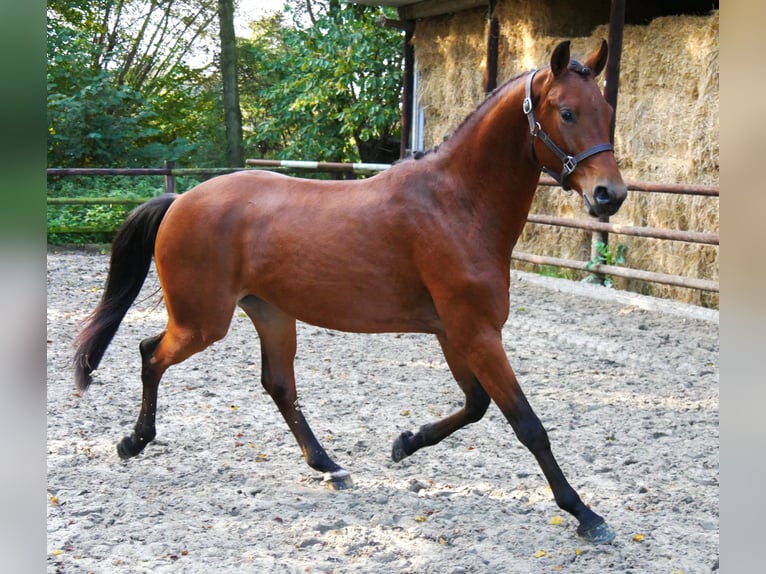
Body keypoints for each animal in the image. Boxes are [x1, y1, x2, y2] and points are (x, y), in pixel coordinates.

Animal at [75, 40, 632, 544]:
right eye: (566, 112)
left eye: (608, 112)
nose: (610, 195)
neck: (456, 205)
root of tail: (180, 200)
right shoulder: (476, 333)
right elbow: (526, 423)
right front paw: (585, 514)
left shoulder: (455, 333)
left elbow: (475, 405)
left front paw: (406, 443)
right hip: (202, 323)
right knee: (151, 354)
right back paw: (134, 441)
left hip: (271, 315)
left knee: (278, 386)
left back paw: (328, 465)